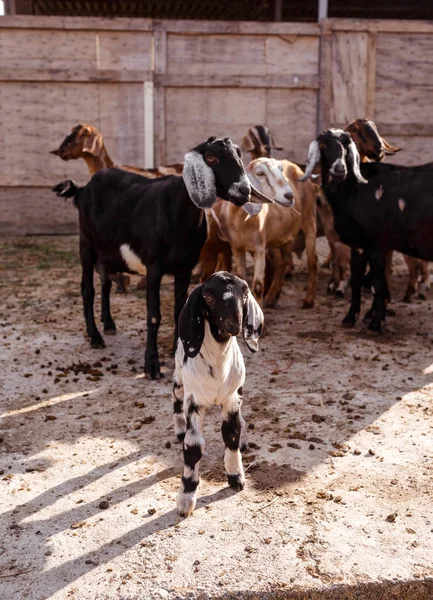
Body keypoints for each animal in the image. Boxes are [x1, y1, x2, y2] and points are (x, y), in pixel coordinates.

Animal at [52, 138, 272, 378]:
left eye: (238, 154)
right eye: (211, 157)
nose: (243, 191)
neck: (177, 213)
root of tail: (83, 189)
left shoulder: (185, 269)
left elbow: (179, 310)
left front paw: (179, 350)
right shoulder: (154, 269)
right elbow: (154, 316)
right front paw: (151, 365)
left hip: (106, 251)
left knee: (105, 283)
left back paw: (108, 324)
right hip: (87, 243)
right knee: (87, 289)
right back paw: (95, 337)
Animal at [172, 272, 264, 516]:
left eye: (244, 295)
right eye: (209, 299)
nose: (235, 323)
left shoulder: (232, 399)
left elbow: (231, 433)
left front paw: (236, 477)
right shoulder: (194, 402)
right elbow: (193, 446)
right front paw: (186, 499)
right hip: (179, 380)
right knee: (176, 403)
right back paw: (179, 429)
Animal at [298, 127, 432, 332]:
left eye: (347, 145)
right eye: (323, 145)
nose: (340, 169)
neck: (353, 189)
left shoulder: (377, 244)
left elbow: (378, 282)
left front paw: (376, 323)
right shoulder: (359, 245)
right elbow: (357, 279)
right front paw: (350, 317)